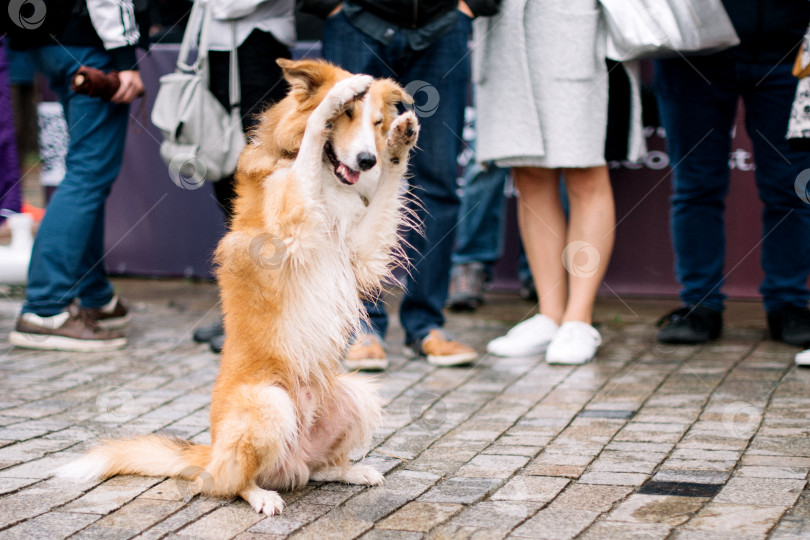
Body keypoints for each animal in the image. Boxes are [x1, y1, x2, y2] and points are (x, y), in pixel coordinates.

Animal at [54, 59, 420, 516]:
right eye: (348, 116)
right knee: (231, 483)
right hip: (271, 405)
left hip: (355, 392)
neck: (328, 184)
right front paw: (337, 95)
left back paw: (349, 471)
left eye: (376, 123)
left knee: (314, 468)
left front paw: (400, 142)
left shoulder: (362, 253)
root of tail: (211, 452)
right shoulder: (292, 226)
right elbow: (311, 135)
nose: (368, 159)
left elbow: (387, 192)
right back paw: (261, 495)